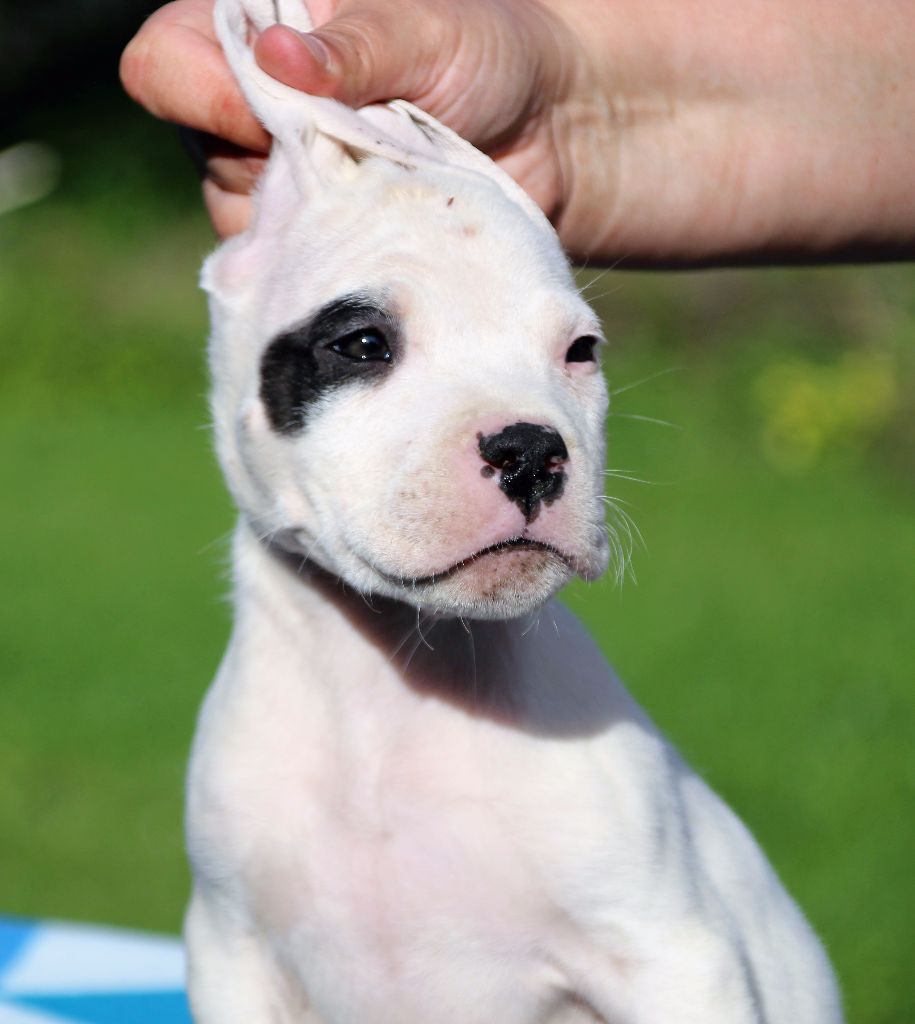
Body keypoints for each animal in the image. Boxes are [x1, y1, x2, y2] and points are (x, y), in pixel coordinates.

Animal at [184, 1, 844, 1020]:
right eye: (362, 344)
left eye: (580, 351)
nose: (531, 450)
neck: (389, 703)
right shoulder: (231, 952)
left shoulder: (673, 954)